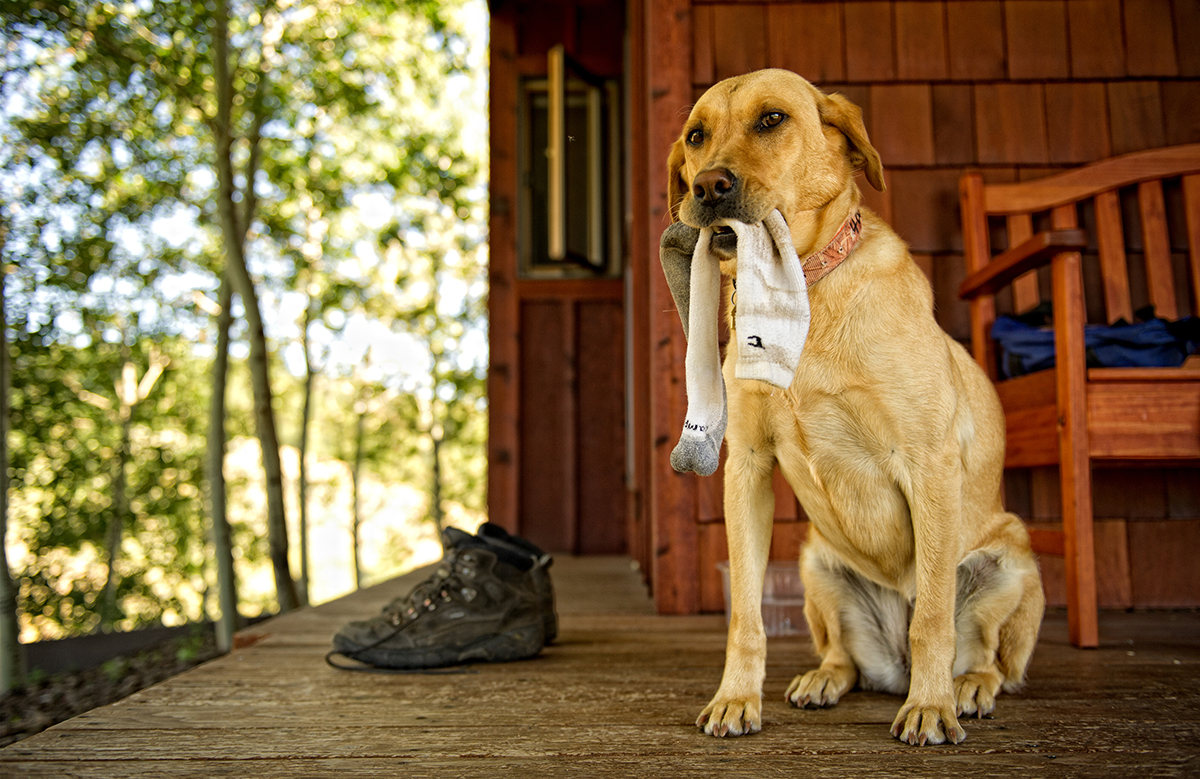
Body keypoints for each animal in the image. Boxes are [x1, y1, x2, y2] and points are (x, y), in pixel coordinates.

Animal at [662, 69, 1046, 744]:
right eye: (696, 135)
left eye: (772, 119)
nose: (707, 185)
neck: (804, 293)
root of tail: (890, 666)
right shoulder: (748, 469)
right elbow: (745, 618)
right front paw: (736, 698)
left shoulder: (929, 464)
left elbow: (934, 621)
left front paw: (930, 707)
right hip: (817, 561)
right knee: (844, 656)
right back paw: (825, 678)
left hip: (1013, 560)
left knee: (987, 655)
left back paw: (964, 687)